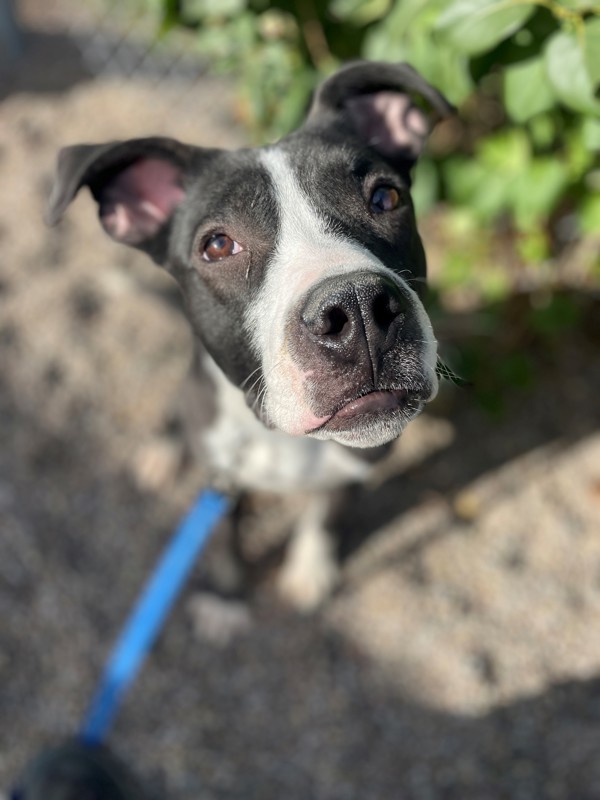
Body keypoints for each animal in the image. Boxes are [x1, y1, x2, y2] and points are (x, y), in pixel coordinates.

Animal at [45, 62, 450, 612]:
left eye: (386, 197)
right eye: (218, 245)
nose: (358, 307)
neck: (285, 441)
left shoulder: (355, 465)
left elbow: (327, 514)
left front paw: (309, 568)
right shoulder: (222, 474)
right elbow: (222, 534)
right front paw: (224, 595)